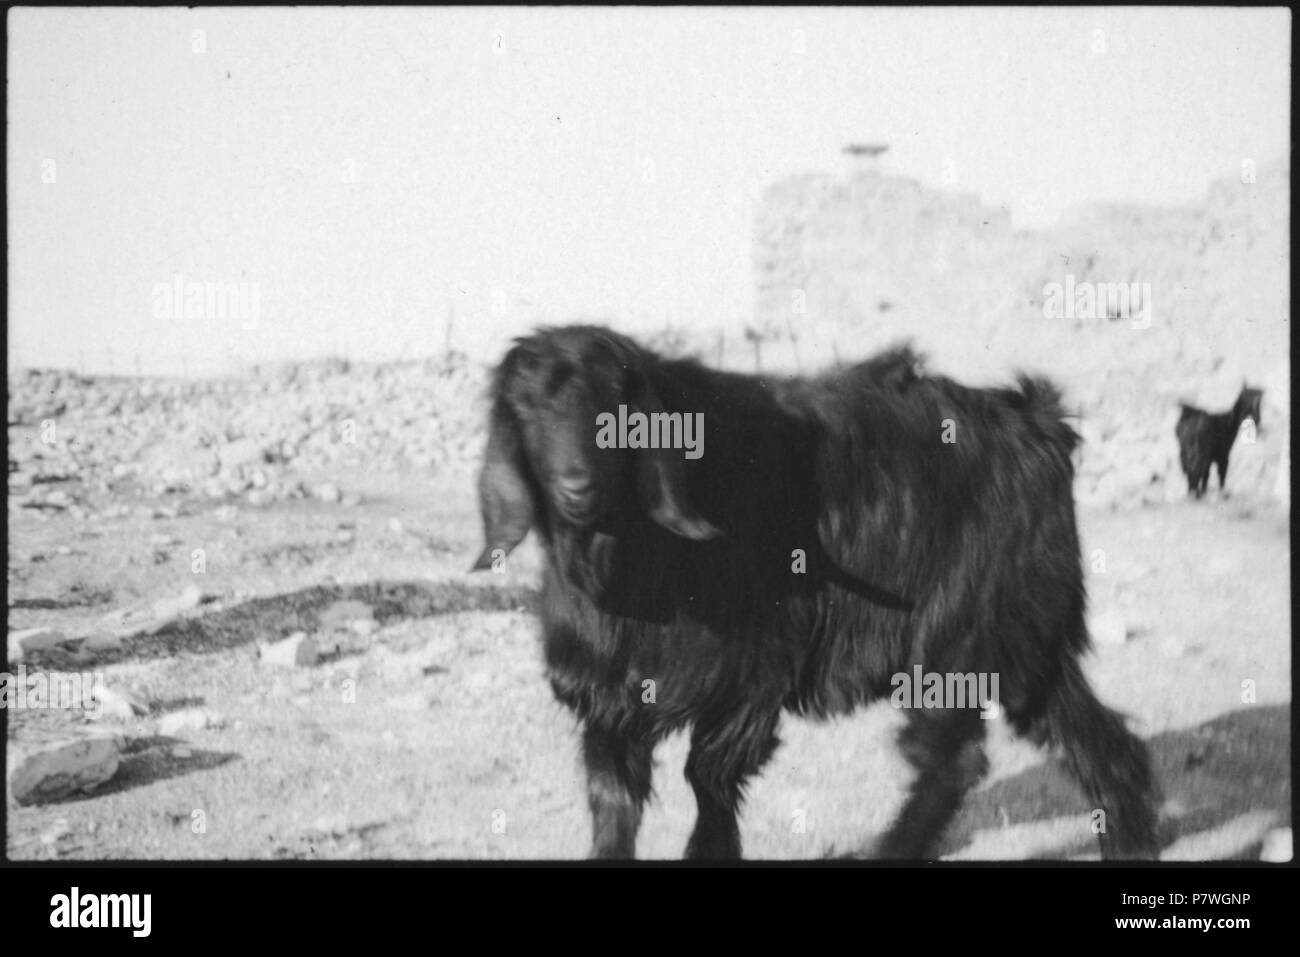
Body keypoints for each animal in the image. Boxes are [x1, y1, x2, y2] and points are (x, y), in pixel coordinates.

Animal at [473, 325, 1159, 860]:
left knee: (950, 759)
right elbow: (614, 799)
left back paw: (889, 850)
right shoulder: (609, 699)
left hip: (958, 632)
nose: (576, 488)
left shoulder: (748, 677)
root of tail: (1037, 423)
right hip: (1025, 636)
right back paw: (1129, 842)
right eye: (526, 410)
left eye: (616, 409)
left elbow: (708, 780)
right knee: (1090, 735)